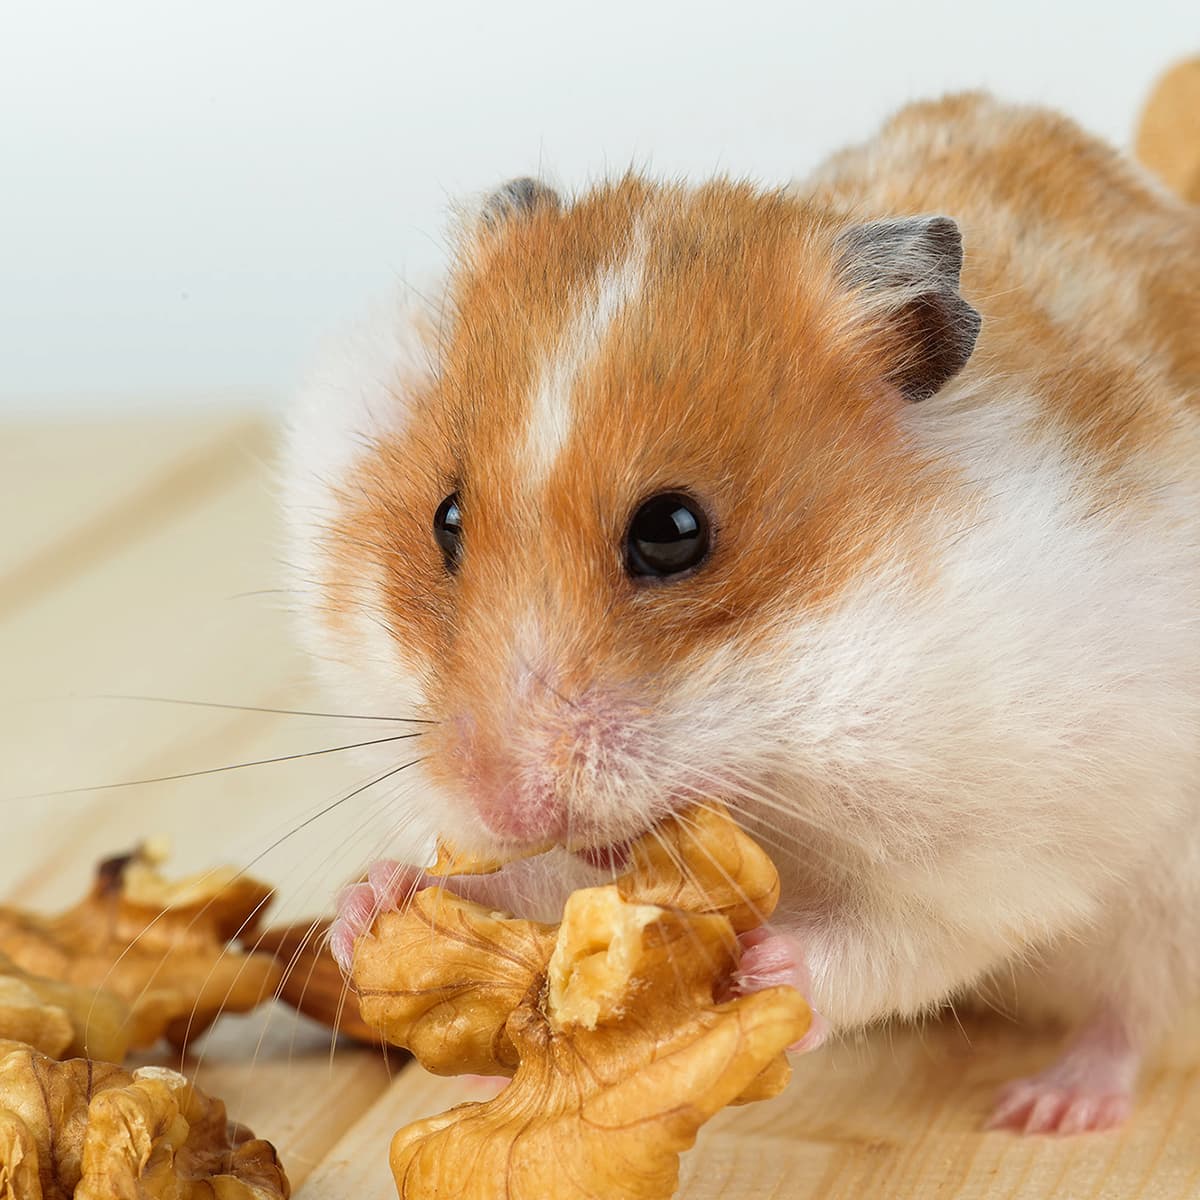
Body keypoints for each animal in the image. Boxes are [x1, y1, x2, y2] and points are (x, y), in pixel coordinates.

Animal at [284, 93, 1200, 1134]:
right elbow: (537, 878)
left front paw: (758, 971)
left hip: (1168, 907)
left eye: (672, 532)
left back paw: (1048, 1108)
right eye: (445, 520)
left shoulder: (1008, 843)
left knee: (1133, 1011)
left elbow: (901, 943)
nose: (499, 802)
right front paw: (376, 900)